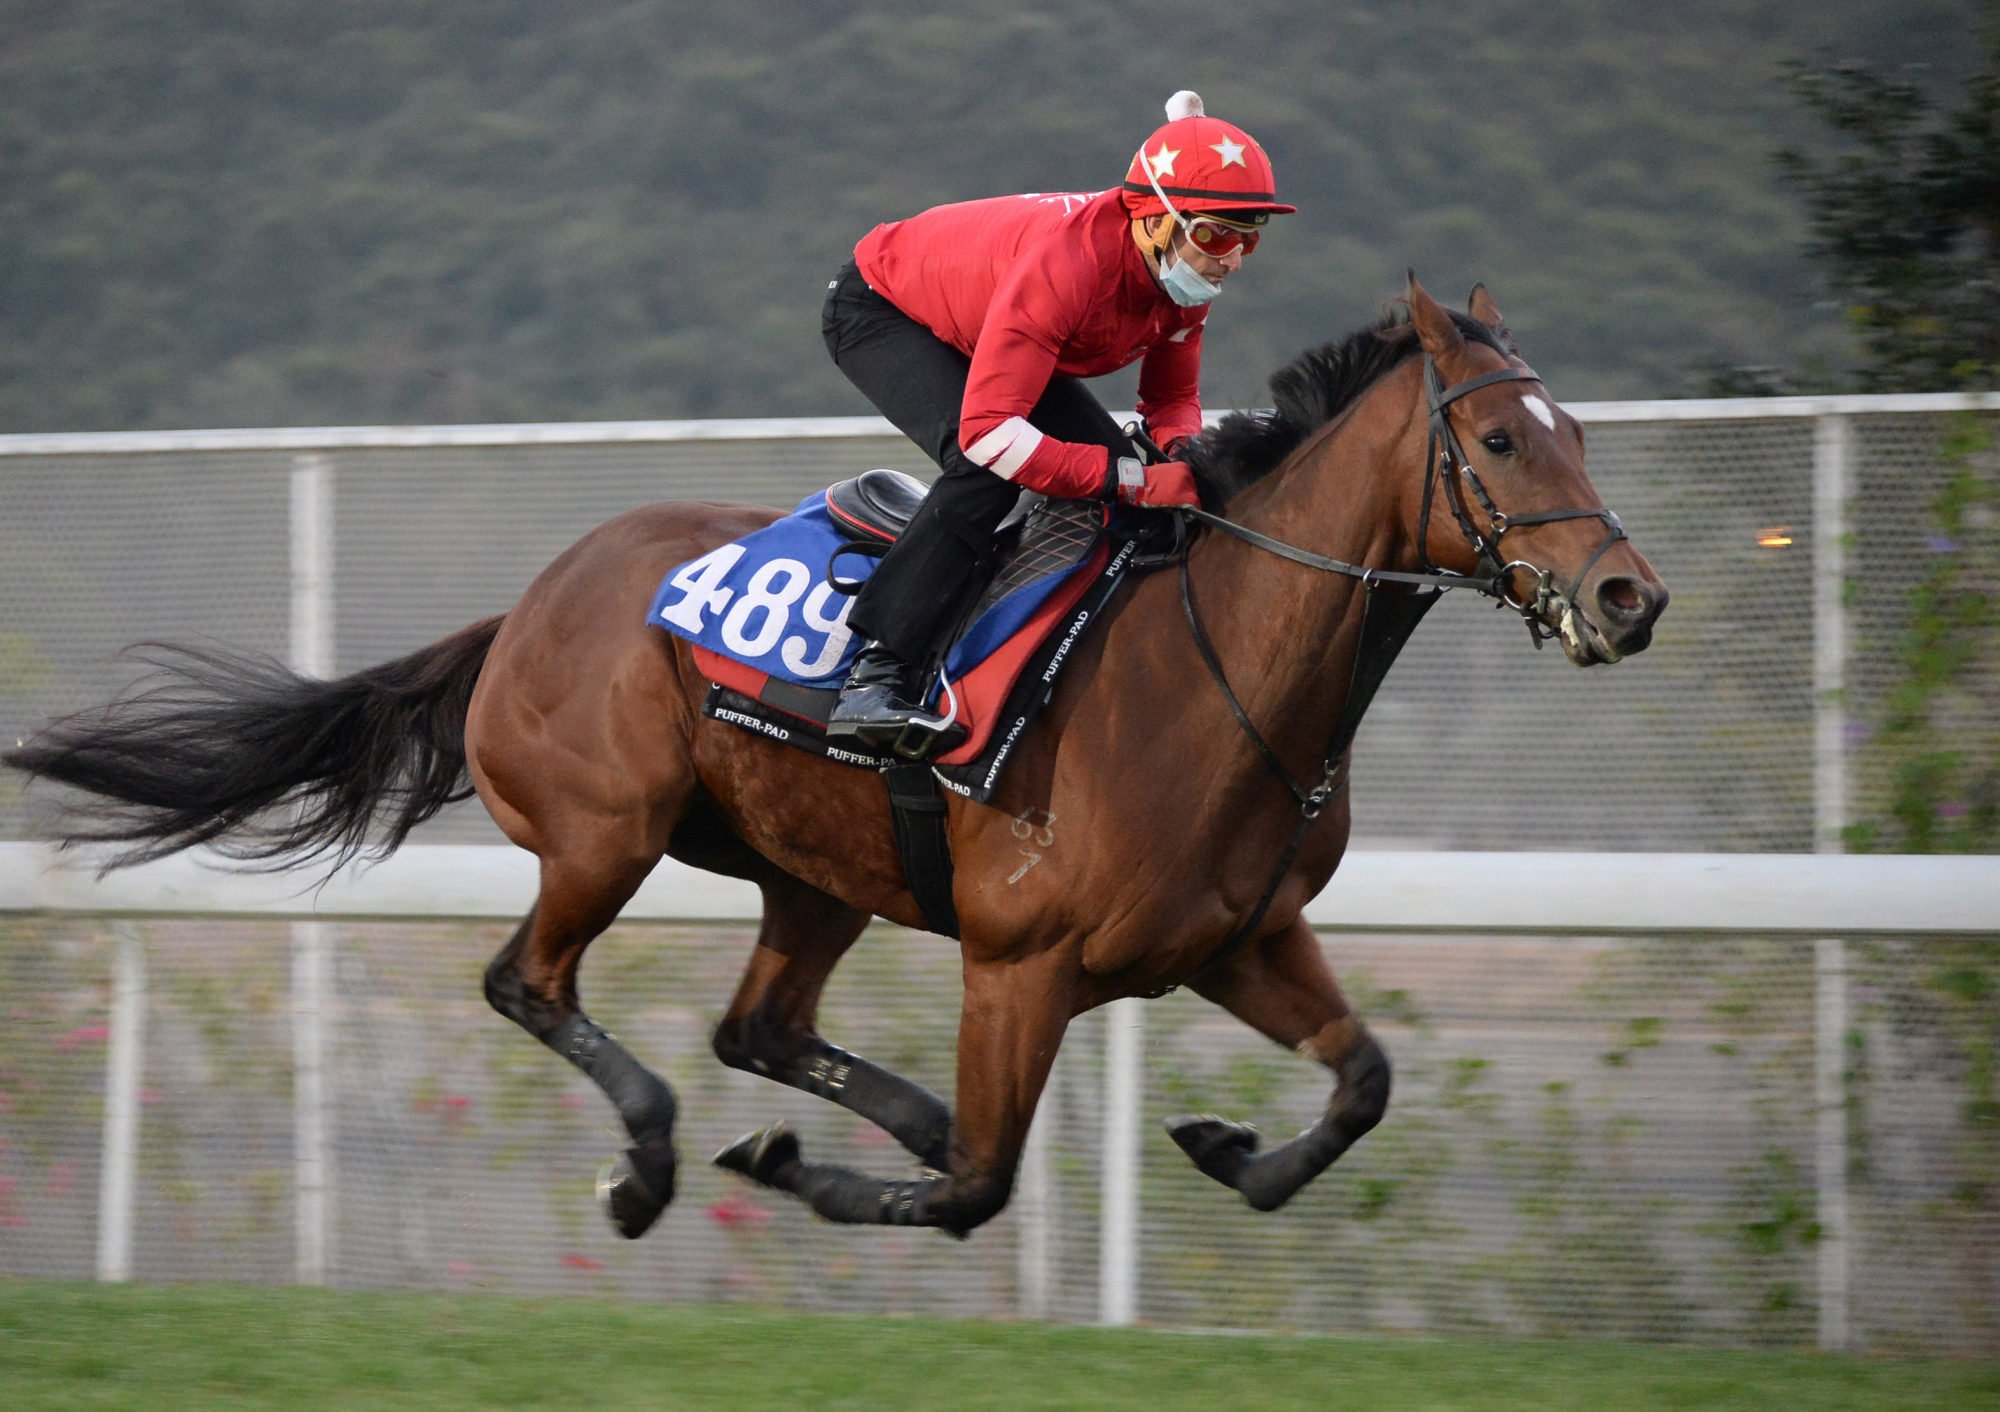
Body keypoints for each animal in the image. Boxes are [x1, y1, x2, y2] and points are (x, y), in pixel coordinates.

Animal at [7, 272, 1664, 1232]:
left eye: (1579, 430)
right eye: (1501, 441)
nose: (1626, 597)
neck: (1216, 672)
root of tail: (532, 600)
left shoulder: (1236, 938)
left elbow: (1363, 1081)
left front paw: (1220, 1147)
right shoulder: (1024, 963)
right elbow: (978, 1190)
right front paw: (807, 1171)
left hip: (816, 872)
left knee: (759, 1026)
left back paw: (833, 1120)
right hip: (605, 832)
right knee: (528, 985)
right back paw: (656, 1164)